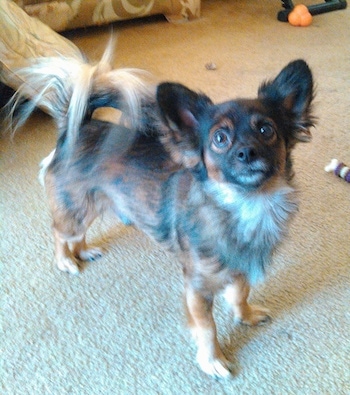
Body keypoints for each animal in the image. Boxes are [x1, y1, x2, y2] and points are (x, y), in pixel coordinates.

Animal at [12, 48, 316, 378]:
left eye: (266, 130)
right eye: (220, 138)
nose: (247, 153)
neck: (245, 204)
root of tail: (76, 128)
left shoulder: (239, 268)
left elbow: (239, 294)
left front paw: (245, 316)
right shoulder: (197, 287)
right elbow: (207, 327)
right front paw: (212, 360)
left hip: (93, 204)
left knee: (77, 234)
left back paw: (83, 251)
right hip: (74, 209)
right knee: (58, 232)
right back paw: (65, 261)